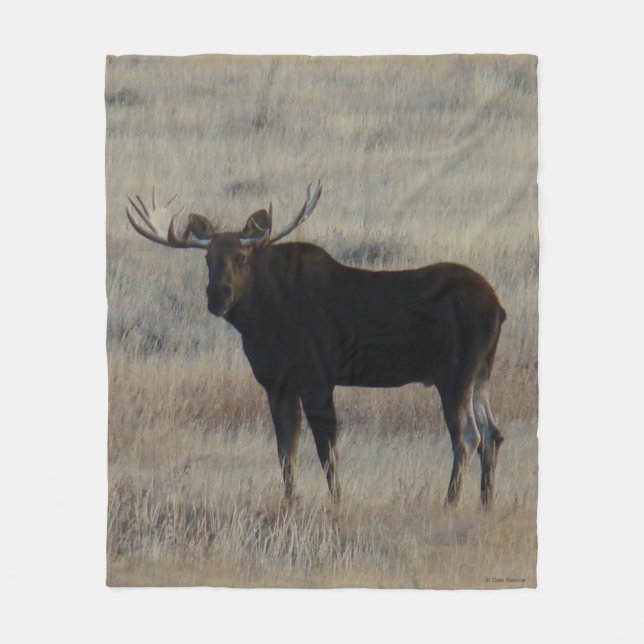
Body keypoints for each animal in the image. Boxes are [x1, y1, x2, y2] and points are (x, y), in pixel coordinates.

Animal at [126, 182, 506, 508]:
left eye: (242, 258)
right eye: (207, 259)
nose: (218, 296)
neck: (262, 319)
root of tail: (498, 308)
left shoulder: (316, 379)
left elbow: (327, 451)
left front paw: (337, 502)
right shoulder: (276, 384)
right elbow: (286, 451)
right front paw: (290, 501)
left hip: (454, 375)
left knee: (467, 437)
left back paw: (450, 503)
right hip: (481, 373)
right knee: (493, 433)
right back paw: (485, 504)